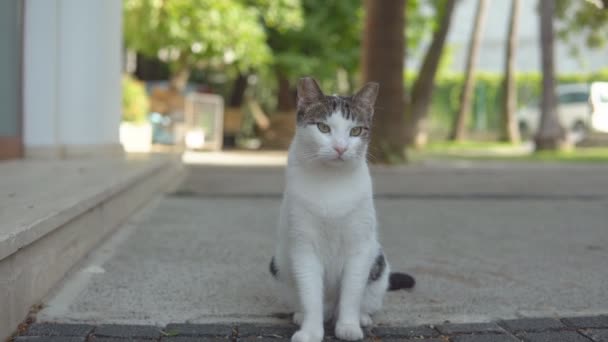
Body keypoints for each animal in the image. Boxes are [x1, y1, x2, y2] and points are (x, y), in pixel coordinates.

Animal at [270, 77, 414, 342]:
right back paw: (301, 315)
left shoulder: (359, 246)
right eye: (323, 128)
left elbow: (351, 293)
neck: (331, 181)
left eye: (355, 131)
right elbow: (310, 294)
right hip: (279, 265)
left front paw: (348, 326)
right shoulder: (304, 247)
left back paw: (361, 317)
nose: (340, 148)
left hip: (378, 264)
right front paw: (310, 331)